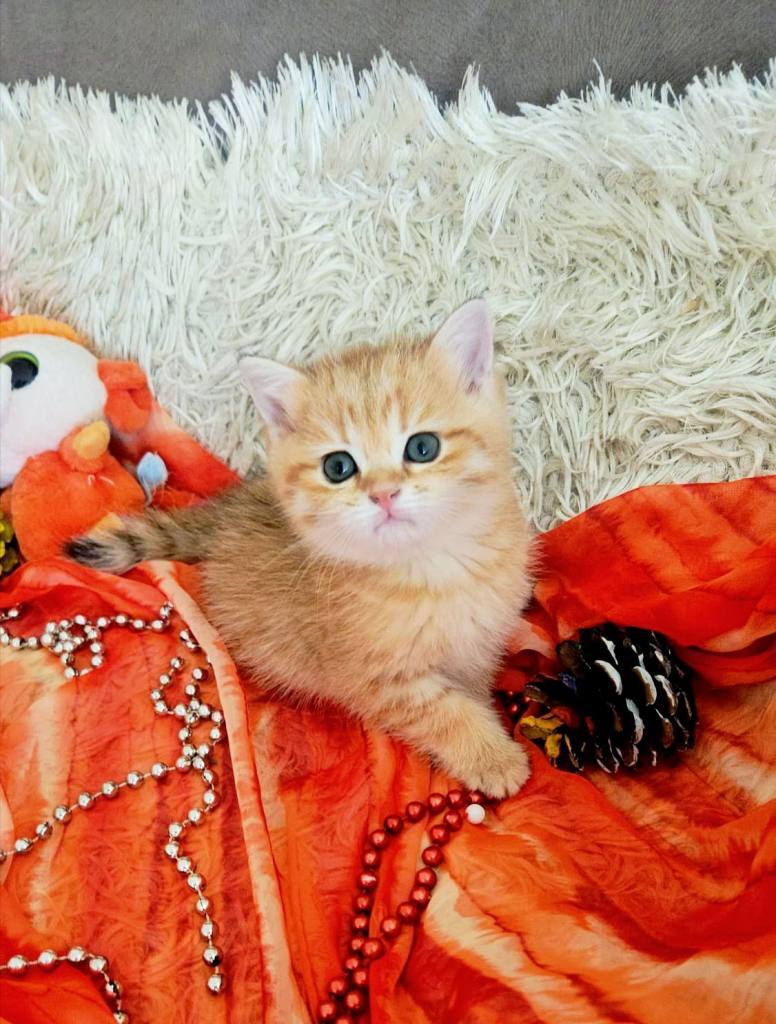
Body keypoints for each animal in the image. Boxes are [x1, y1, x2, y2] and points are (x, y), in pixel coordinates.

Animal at [67, 300, 533, 798]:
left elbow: (473, 687)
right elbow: (445, 712)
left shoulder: (481, 643)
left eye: (423, 447)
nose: (384, 494)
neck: (433, 570)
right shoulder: (378, 682)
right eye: (338, 467)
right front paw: (493, 757)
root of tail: (228, 512)